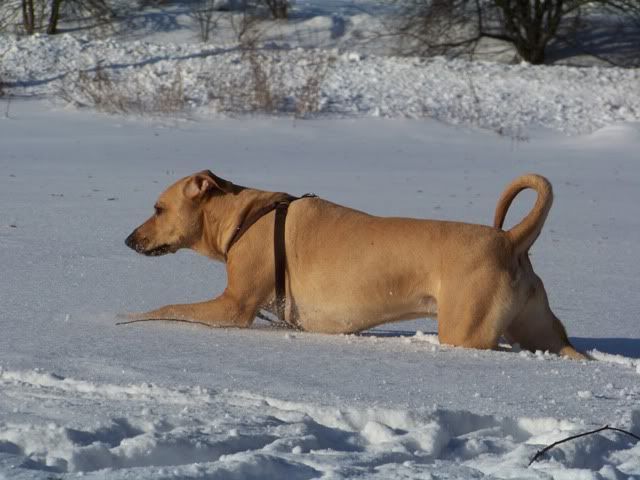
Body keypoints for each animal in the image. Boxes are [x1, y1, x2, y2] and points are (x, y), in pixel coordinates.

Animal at [124, 170, 587, 360]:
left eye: (158, 208)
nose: (129, 240)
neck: (244, 218)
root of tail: (509, 239)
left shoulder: (234, 306)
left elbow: (168, 310)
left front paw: (127, 319)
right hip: (535, 325)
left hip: (466, 330)